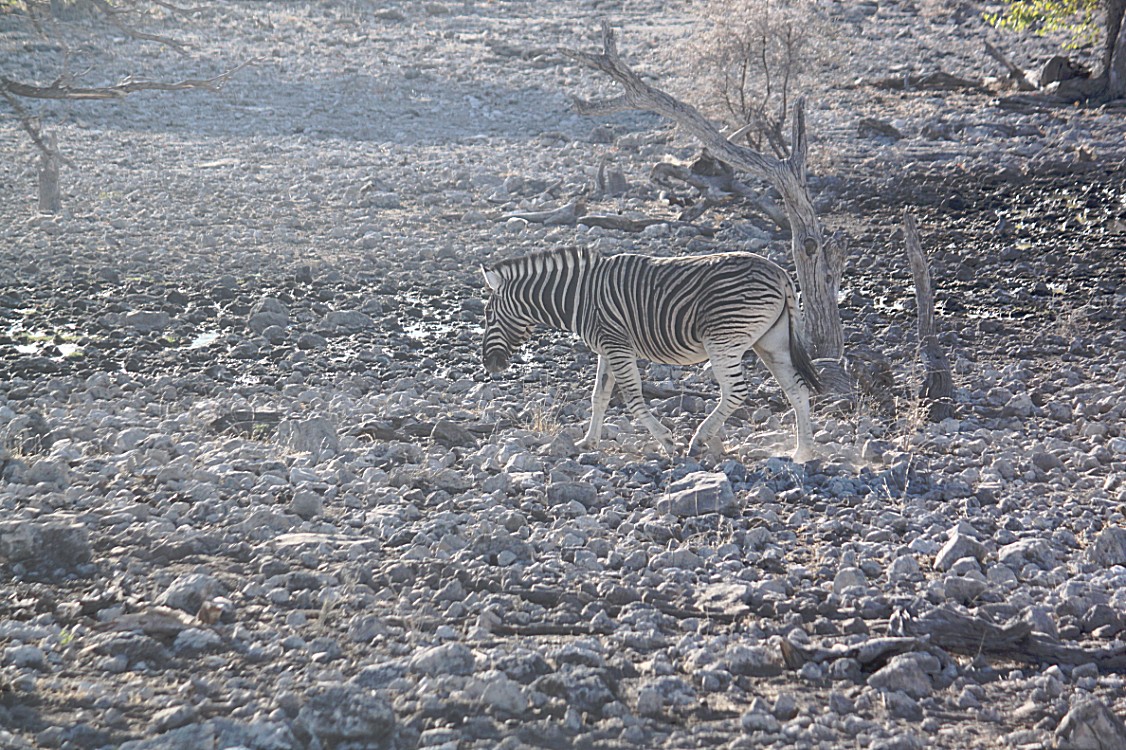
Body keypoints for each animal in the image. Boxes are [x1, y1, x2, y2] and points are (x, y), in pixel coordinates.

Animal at [479, 244, 824, 461]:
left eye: (487, 315)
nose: (489, 366)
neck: (580, 296)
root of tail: (779, 273)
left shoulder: (618, 347)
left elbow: (632, 398)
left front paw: (667, 441)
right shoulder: (608, 348)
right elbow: (599, 396)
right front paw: (588, 441)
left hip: (723, 340)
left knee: (736, 391)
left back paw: (698, 440)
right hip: (771, 342)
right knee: (797, 389)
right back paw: (803, 452)